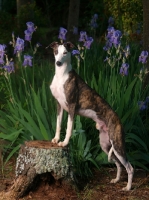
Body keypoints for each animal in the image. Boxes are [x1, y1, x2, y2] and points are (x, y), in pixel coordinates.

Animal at [49, 41, 133, 191]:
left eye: (65, 52)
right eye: (56, 52)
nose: (58, 63)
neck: (61, 76)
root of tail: (118, 120)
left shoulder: (71, 107)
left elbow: (69, 128)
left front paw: (64, 142)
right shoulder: (59, 105)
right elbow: (58, 124)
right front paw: (56, 139)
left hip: (117, 144)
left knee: (129, 167)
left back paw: (128, 188)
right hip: (105, 145)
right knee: (118, 164)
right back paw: (116, 180)